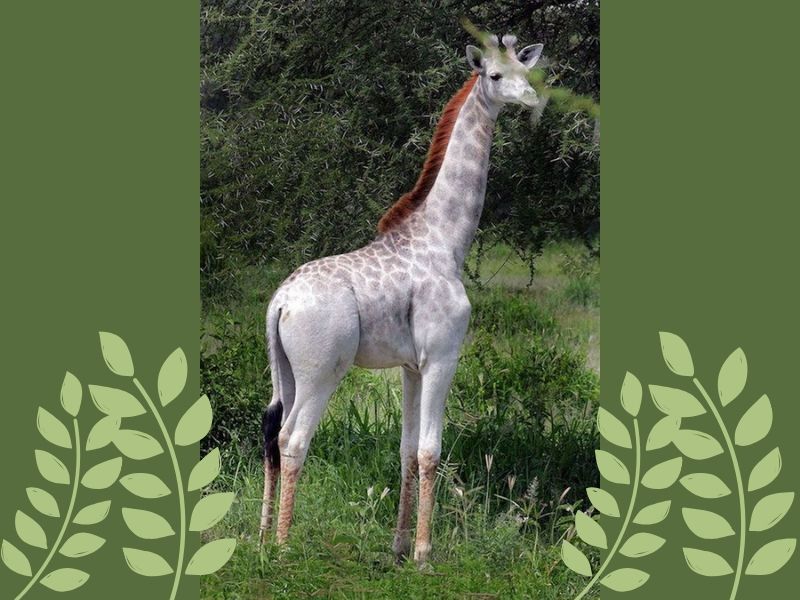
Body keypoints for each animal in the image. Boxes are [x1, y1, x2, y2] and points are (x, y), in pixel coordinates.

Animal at [259, 33, 544, 564]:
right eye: (495, 75)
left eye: (526, 69)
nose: (532, 98)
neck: (446, 240)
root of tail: (279, 303)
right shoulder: (442, 356)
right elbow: (431, 450)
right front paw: (425, 554)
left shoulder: (411, 365)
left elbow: (407, 449)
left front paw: (398, 547)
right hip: (321, 370)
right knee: (294, 438)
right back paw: (284, 547)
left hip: (282, 368)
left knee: (271, 431)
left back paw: (263, 536)